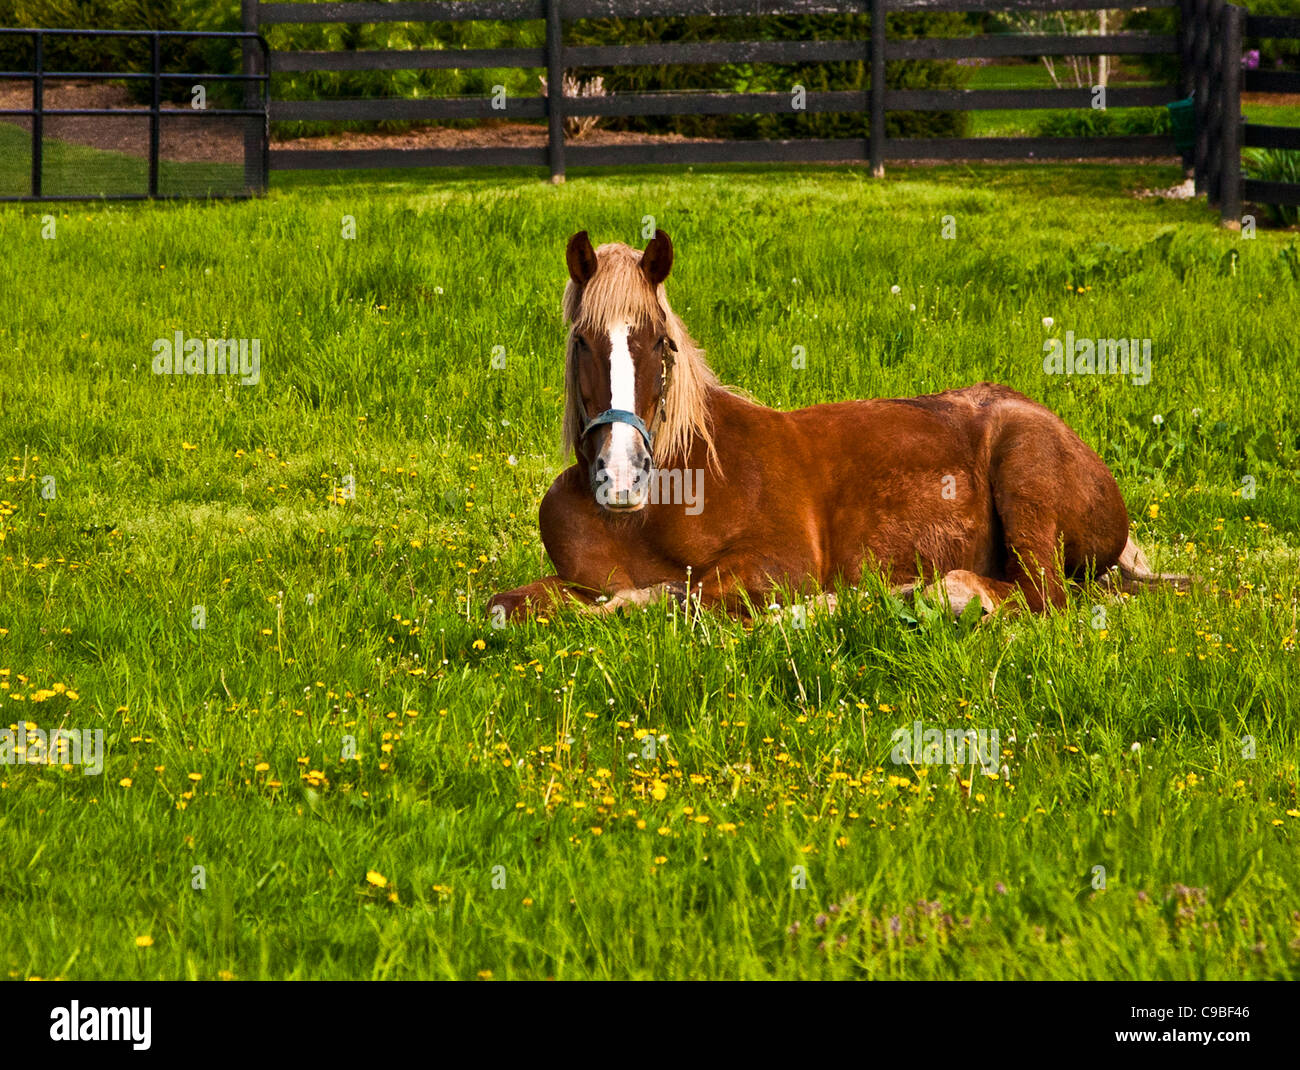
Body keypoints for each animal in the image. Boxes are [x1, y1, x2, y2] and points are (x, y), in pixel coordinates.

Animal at [488, 229, 1182, 622]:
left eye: (660, 343)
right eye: (581, 341)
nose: (622, 476)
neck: (652, 512)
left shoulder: (779, 563)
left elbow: (690, 600)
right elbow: (509, 604)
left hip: (1026, 478)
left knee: (1041, 597)